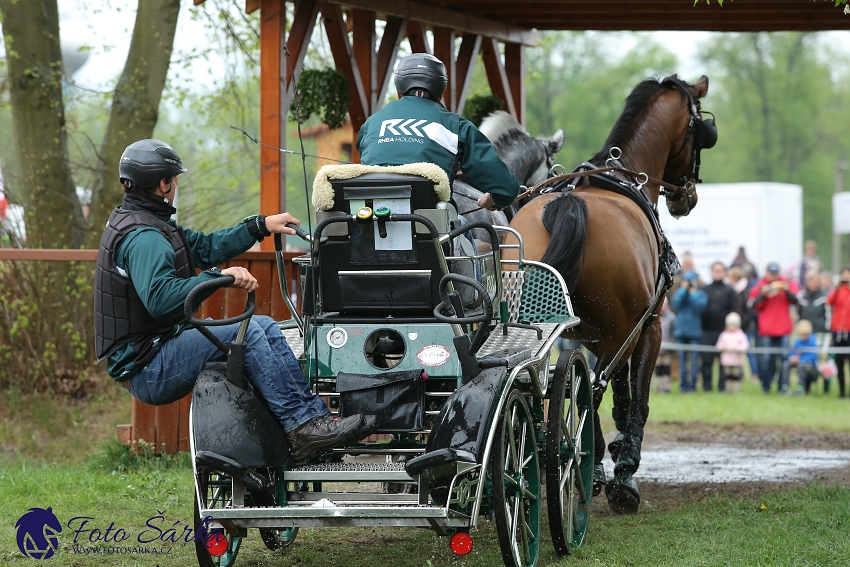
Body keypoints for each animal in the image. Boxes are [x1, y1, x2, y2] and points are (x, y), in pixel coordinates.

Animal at [504, 74, 716, 516]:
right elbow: (632, 398)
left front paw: (601, 463)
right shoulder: (648, 327)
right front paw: (624, 469)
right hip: (624, 330)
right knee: (598, 387)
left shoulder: (580, 335)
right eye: (701, 133)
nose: (686, 197)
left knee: (575, 386)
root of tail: (567, 206)